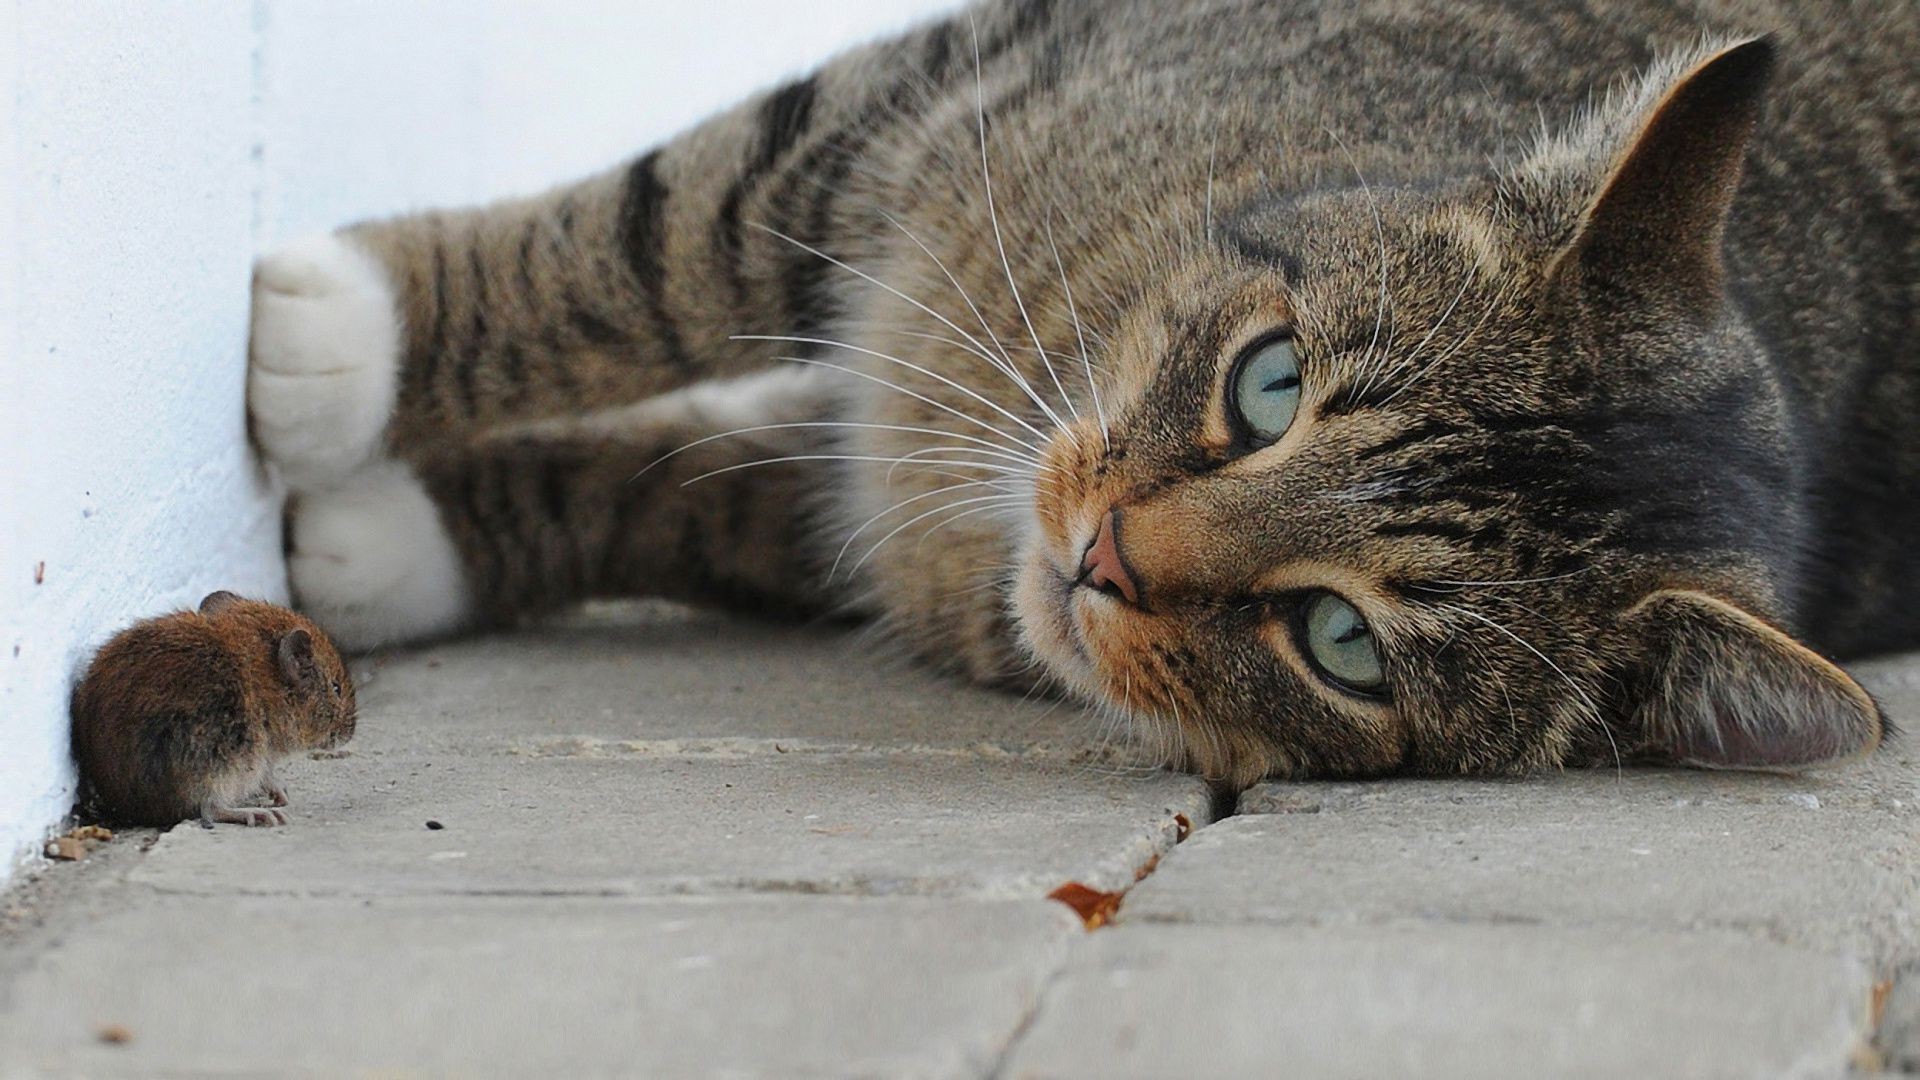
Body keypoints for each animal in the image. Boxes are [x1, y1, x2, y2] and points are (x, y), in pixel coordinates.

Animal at [247, 0, 1912, 776]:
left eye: (1343, 645)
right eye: (1270, 384)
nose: (1104, 555)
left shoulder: (872, 532)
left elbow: (676, 494)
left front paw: (382, 533)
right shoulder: (941, 97)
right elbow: (655, 237)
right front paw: (357, 332)